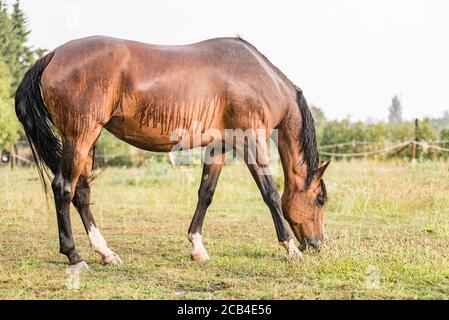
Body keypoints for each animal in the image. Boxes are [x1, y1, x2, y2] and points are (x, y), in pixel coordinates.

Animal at [14, 36, 328, 268]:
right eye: (321, 200)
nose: (317, 244)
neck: (258, 77)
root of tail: (53, 54)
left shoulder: (219, 147)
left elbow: (206, 194)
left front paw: (197, 247)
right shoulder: (250, 140)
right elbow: (270, 194)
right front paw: (290, 249)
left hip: (88, 140)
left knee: (81, 192)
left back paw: (105, 253)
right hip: (80, 136)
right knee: (63, 187)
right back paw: (74, 255)